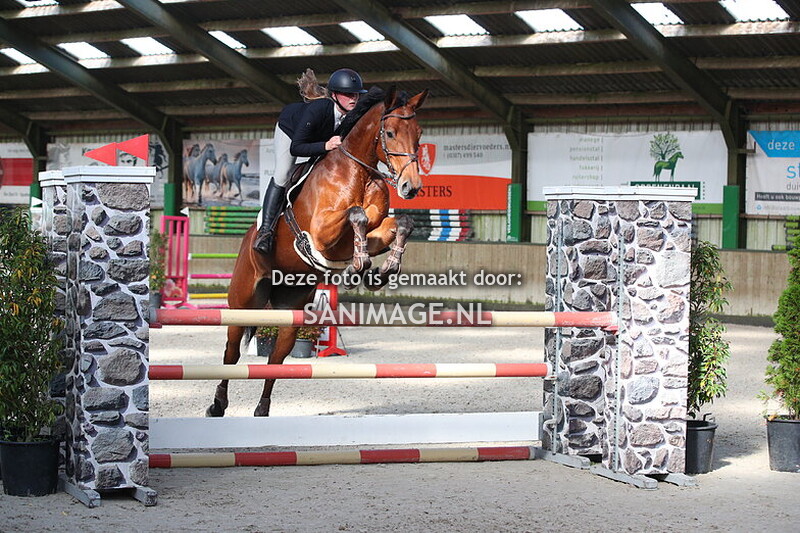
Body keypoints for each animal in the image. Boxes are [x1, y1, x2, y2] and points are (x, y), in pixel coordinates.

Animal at [206, 86, 428, 418]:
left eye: (419, 133)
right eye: (389, 133)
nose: (410, 187)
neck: (359, 172)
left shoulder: (367, 231)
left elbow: (399, 222)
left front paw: (380, 271)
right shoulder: (323, 232)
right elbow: (357, 214)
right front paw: (359, 266)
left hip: (290, 309)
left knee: (276, 359)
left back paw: (262, 409)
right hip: (242, 303)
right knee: (231, 352)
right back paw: (217, 405)